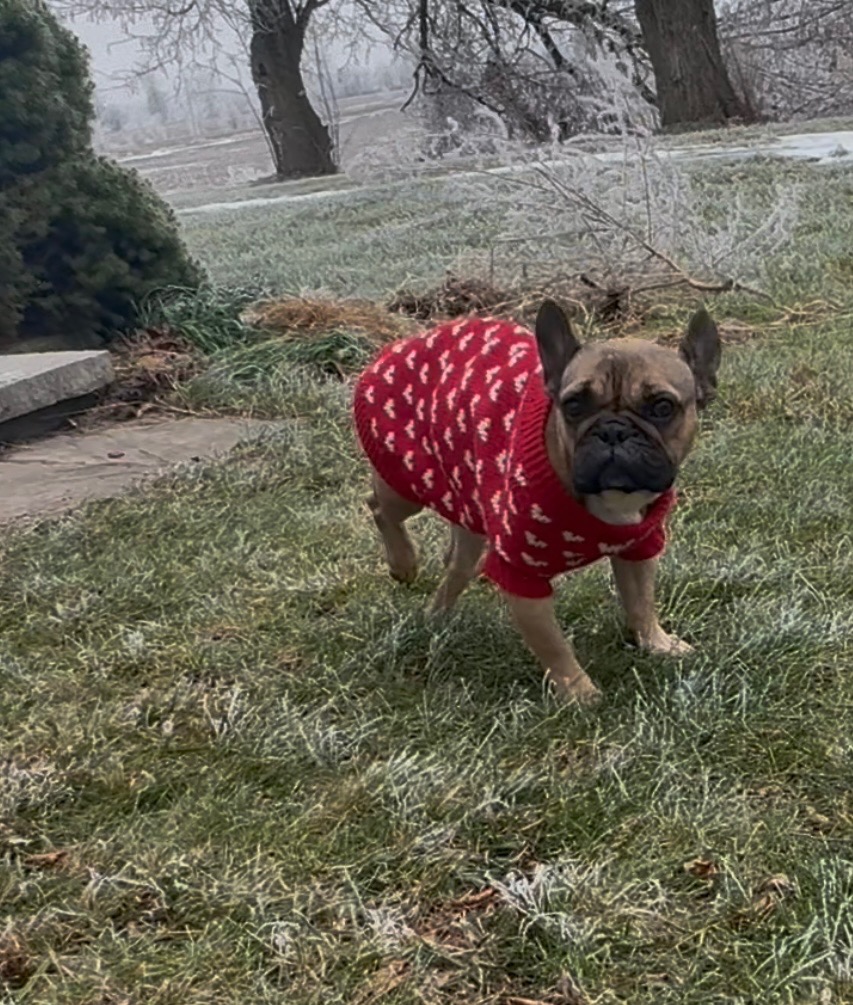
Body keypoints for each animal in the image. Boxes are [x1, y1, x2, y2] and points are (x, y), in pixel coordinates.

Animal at [352, 299, 721, 703]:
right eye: (573, 405)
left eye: (662, 407)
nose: (612, 430)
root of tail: (404, 344)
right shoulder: (522, 574)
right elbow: (553, 644)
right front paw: (579, 692)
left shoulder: (636, 547)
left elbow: (640, 602)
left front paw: (656, 643)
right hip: (406, 483)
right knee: (379, 506)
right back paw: (403, 563)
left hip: (469, 505)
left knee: (458, 562)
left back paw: (437, 614)